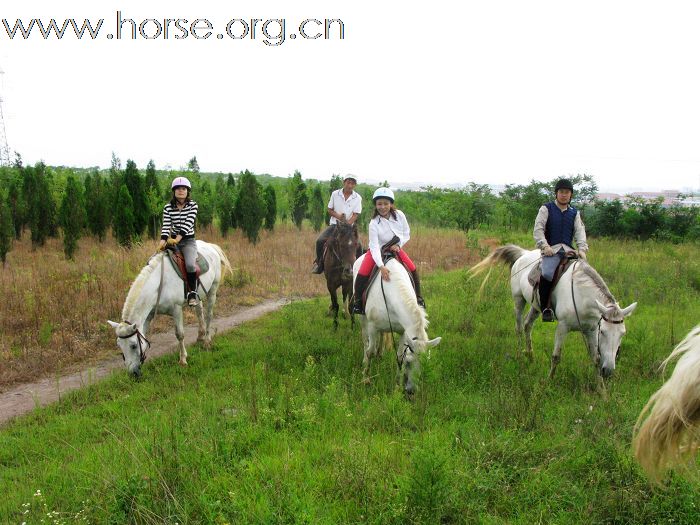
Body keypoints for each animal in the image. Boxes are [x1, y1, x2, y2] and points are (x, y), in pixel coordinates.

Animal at [106, 242, 232, 376]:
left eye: (133, 345)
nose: (133, 373)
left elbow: (179, 334)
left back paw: (207, 341)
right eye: (119, 345)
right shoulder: (149, 315)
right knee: (199, 312)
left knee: (209, 315)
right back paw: (200, 337)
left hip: (212, 290)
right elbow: (144, 334)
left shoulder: (176, 309)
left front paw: (183, 360)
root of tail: (211, 246)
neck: (158, 285)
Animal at [352, 253, 440, 392]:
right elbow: (370, 351)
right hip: (363, 320)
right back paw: (365, 360)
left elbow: (398, 356)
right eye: (409, 362)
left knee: (382, 336)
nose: (411, 391)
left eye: (425, 362)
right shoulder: (372, 328)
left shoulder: (403, 332)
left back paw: (380, 354)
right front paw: (365, 378)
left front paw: (397, 385)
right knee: (365, 341)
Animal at [468, 245, 636, 376]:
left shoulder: (590, 330)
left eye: (622, 334)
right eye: (603, 332)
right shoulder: (563, 327)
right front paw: (548, 382)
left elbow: (595, 359)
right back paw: (520, 356)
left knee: (527, 325)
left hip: (536, 306)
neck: (581, 295)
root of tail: (523, 253)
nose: (608, 371)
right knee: (518, 327)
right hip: (519, 300)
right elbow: (556, 357)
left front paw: (602, 392)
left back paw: (530, 356)